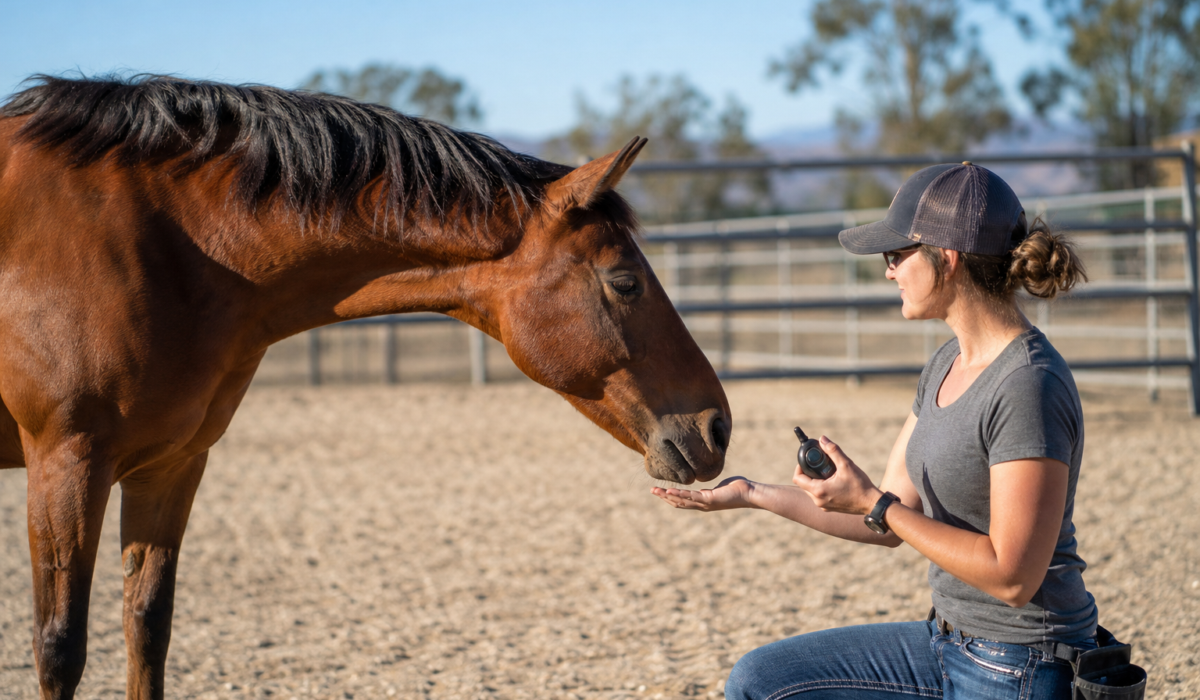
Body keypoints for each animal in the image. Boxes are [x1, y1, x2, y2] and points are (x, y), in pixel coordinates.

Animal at [0, 75, 731, 700]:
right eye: (624, 282)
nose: (718, 426)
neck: (161, 241)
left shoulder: (171, 464)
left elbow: (148, 627)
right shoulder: (67, 460)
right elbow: (59, 647)